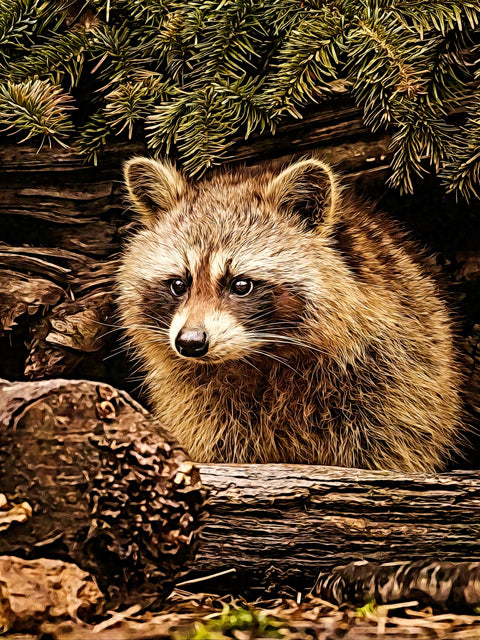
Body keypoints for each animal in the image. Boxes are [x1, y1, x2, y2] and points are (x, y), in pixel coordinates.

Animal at [117, 157, 463, 472]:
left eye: (241, 285)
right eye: (178, 284)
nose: (190, 342)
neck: (260, 356)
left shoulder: (393, 378)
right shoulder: (200, 405)